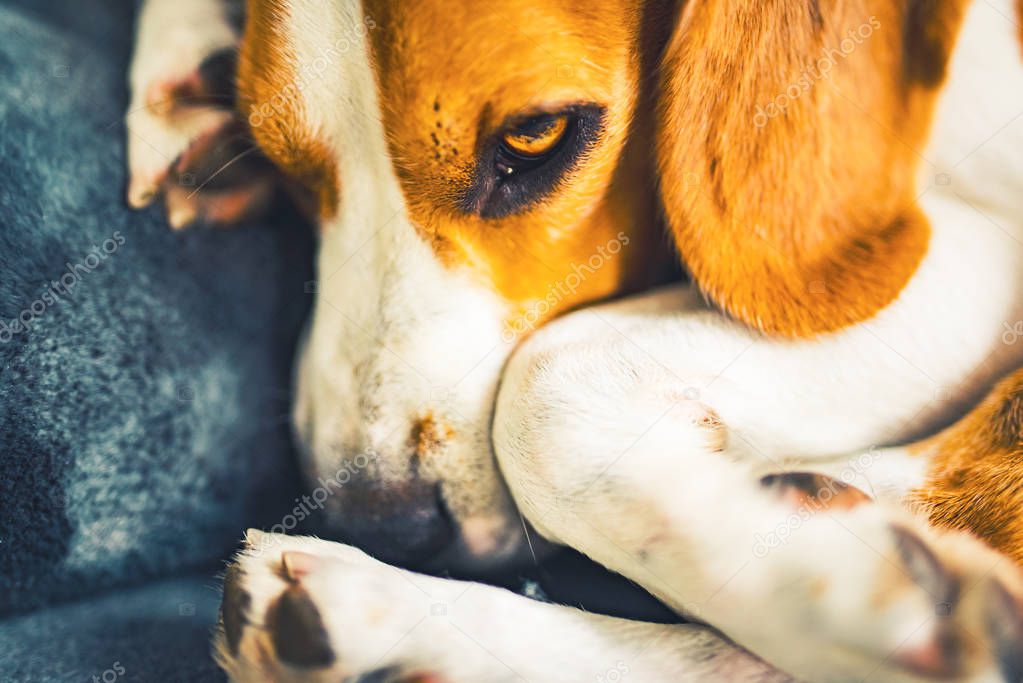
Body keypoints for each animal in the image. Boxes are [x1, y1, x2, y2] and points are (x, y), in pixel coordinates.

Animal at [127, 0, 1023, 678]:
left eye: (535, 137)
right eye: (277, 155)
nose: (381, 524)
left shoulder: (971, 260)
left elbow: (543, 386)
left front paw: (833, 583)